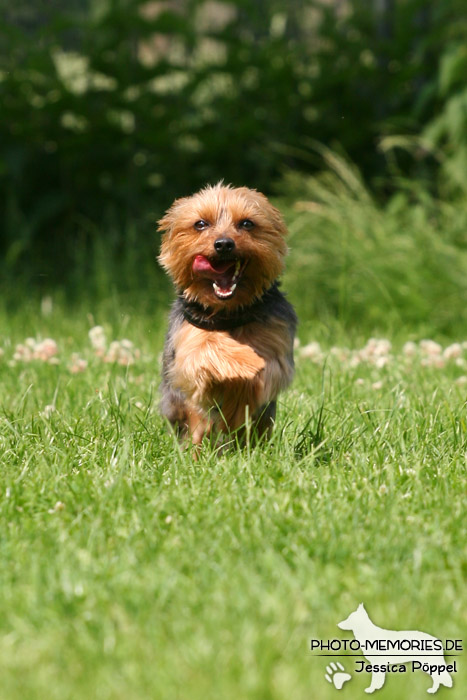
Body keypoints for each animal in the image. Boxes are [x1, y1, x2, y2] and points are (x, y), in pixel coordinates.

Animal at [157, 183, 296, 446]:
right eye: (200, 224)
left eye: (247, 223)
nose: (223, 244)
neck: (228, 313)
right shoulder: (188, 339)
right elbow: (205, 349)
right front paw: (243, 360)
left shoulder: (275, 341)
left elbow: (264, 372)